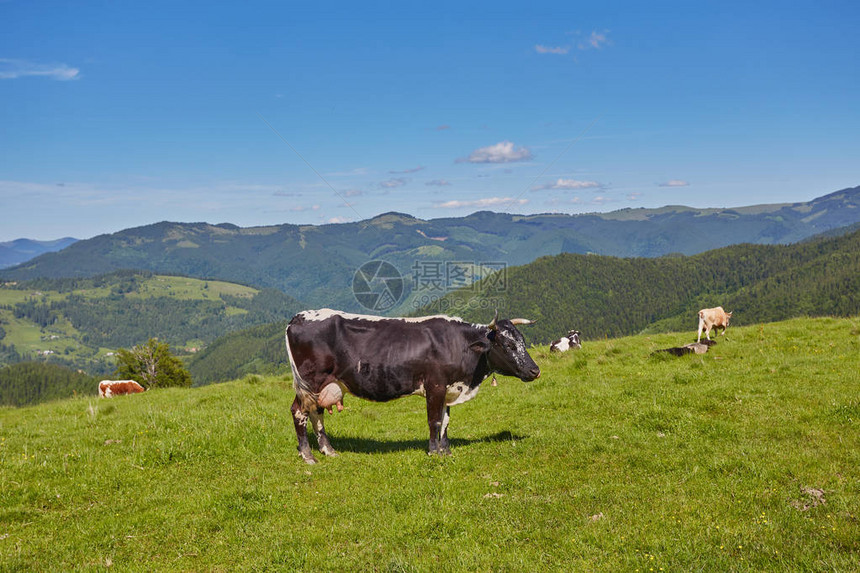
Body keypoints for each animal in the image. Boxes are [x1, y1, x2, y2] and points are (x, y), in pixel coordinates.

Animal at [286, 310, 540, 462]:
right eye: (507, 344)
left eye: (522, 341)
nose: (535, 370)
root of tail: (299, 316)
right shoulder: (435, 385)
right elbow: (434, 420)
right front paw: (434, 452)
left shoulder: (449, 388)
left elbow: (446, 421)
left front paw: (446, 451)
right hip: (310, 381)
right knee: (299, 412)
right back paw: (308, 455)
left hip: (323, 385)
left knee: (317, 413)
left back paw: (328, 451)